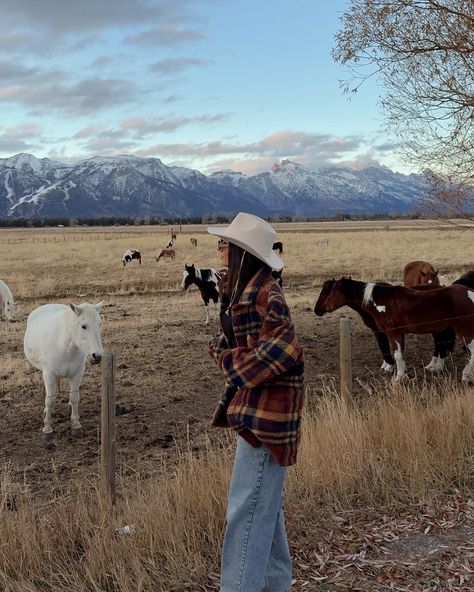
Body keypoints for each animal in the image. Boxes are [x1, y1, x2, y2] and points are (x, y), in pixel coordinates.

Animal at [23, 302, 103, 442]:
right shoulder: (49, 374)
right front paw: (47, 429)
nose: (97, 356)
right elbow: (50, 400)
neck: (65, 347)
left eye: (99, 324)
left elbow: (75, 398)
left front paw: (76, 426)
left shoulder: (77, 374)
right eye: (83, 326)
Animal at [314, 278, 474, 382]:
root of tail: (470, 293)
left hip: (464, 331)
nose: (317, 310)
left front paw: (398, 377)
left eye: (329, 291)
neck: (382, 301)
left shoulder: (393, 333)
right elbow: (398, 353)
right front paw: (401, 373)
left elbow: (396, 355)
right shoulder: (393, 333)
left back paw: (465, 375)